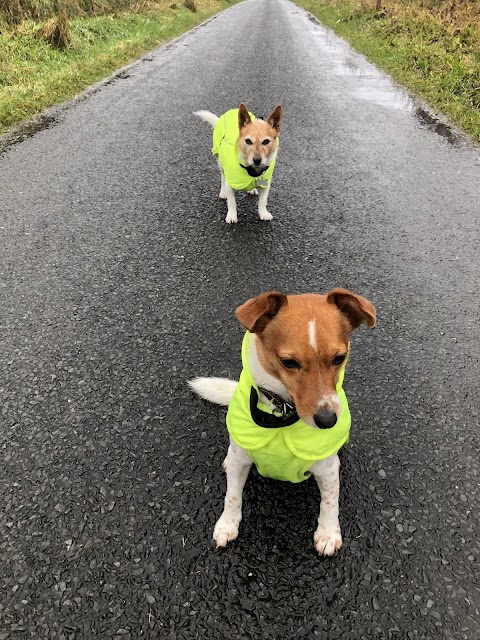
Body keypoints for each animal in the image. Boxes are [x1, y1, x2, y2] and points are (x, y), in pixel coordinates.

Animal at [189, 290, 376, 556]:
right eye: (288, 362)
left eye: (340, 358)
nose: (328, 421)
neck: (283, 412)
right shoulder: (240, 460)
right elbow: (232, 495)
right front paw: (227, 524)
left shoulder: (328, 469)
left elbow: (330, 501)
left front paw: (328, 533)